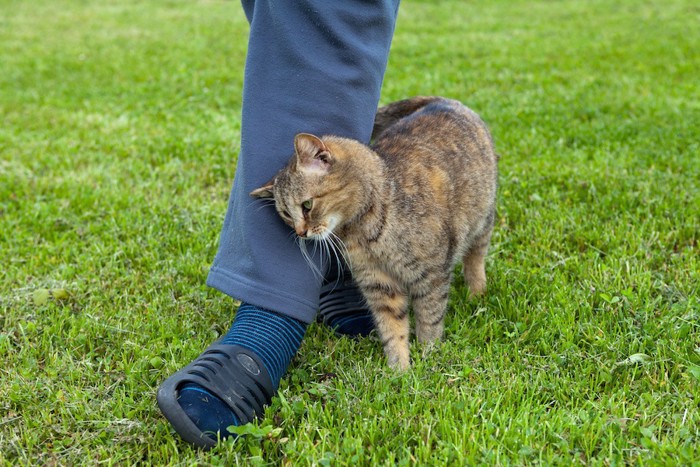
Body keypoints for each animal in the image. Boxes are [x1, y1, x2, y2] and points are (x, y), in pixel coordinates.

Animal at [250, 97, 498, 372]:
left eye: (307, 205)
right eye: (285, 213)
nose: (300, 232)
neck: (364, 233)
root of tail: (444, 100)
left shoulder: (431, 276)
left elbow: (430, 319)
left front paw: (429, 355)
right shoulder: (379, 284)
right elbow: (392, 328)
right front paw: (399, 369)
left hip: (483, 220)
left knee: (475, 257)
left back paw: (476, 292)